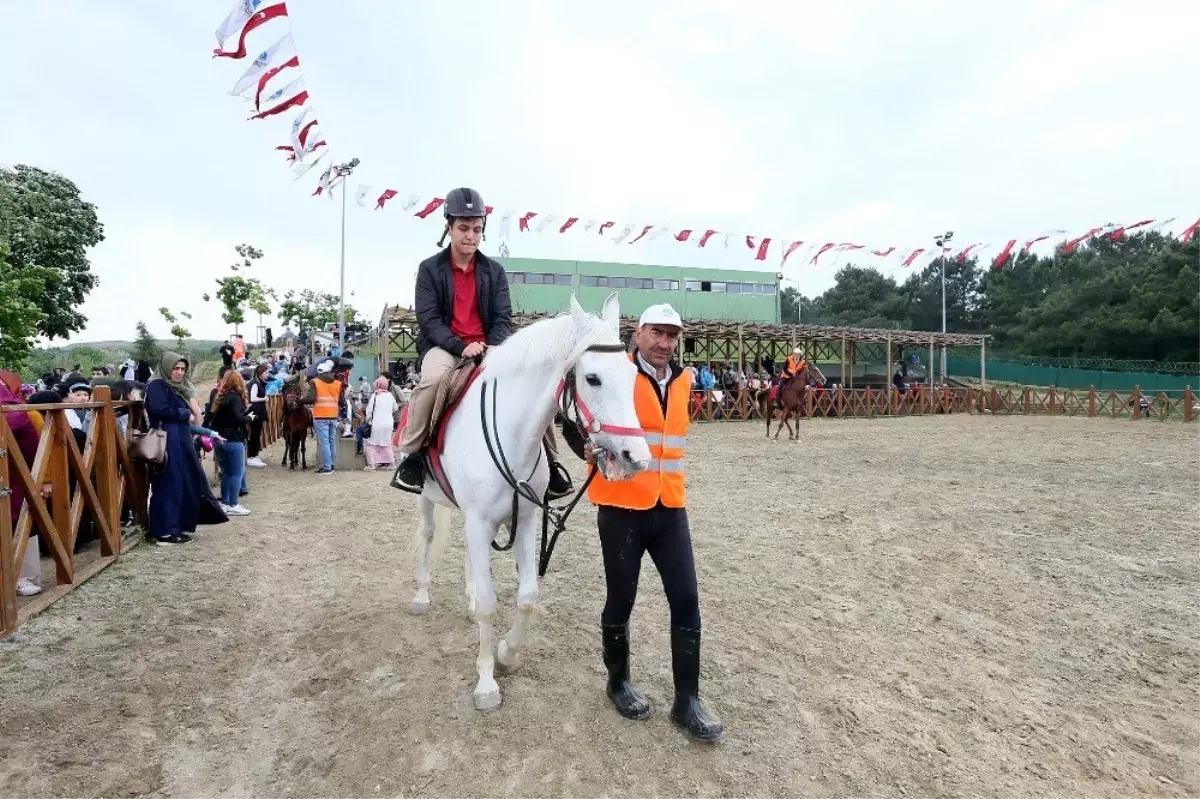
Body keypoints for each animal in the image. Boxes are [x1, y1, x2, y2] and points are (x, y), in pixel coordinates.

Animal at [410, 293, 657, 710]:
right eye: (592, 378)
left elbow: (527, 595)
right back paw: (422, 596)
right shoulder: (480, 521)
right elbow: (490, 604)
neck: (510, 438)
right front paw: (486, 683)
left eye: (631, 376)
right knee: (427, 536)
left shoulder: (523, 520)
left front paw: (506, 654)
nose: (635, 457)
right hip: (428, 500)